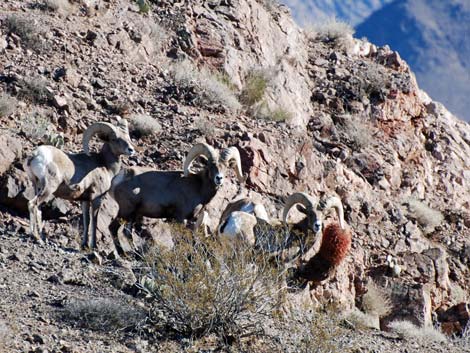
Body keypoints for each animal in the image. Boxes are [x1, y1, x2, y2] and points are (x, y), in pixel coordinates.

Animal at [25, 117, 134, 248]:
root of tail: (35, 155)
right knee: (32, 204)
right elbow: (94, 221)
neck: (105, 165)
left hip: (37, 186)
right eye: (114, 139)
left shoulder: (84, 200)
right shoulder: (96, 198)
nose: (131, 150)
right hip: (48, 188)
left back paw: (40, 237)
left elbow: (86, 221)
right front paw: (93, 246)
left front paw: (84, 244)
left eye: (127, 137)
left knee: (38, 209)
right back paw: (37, 237)